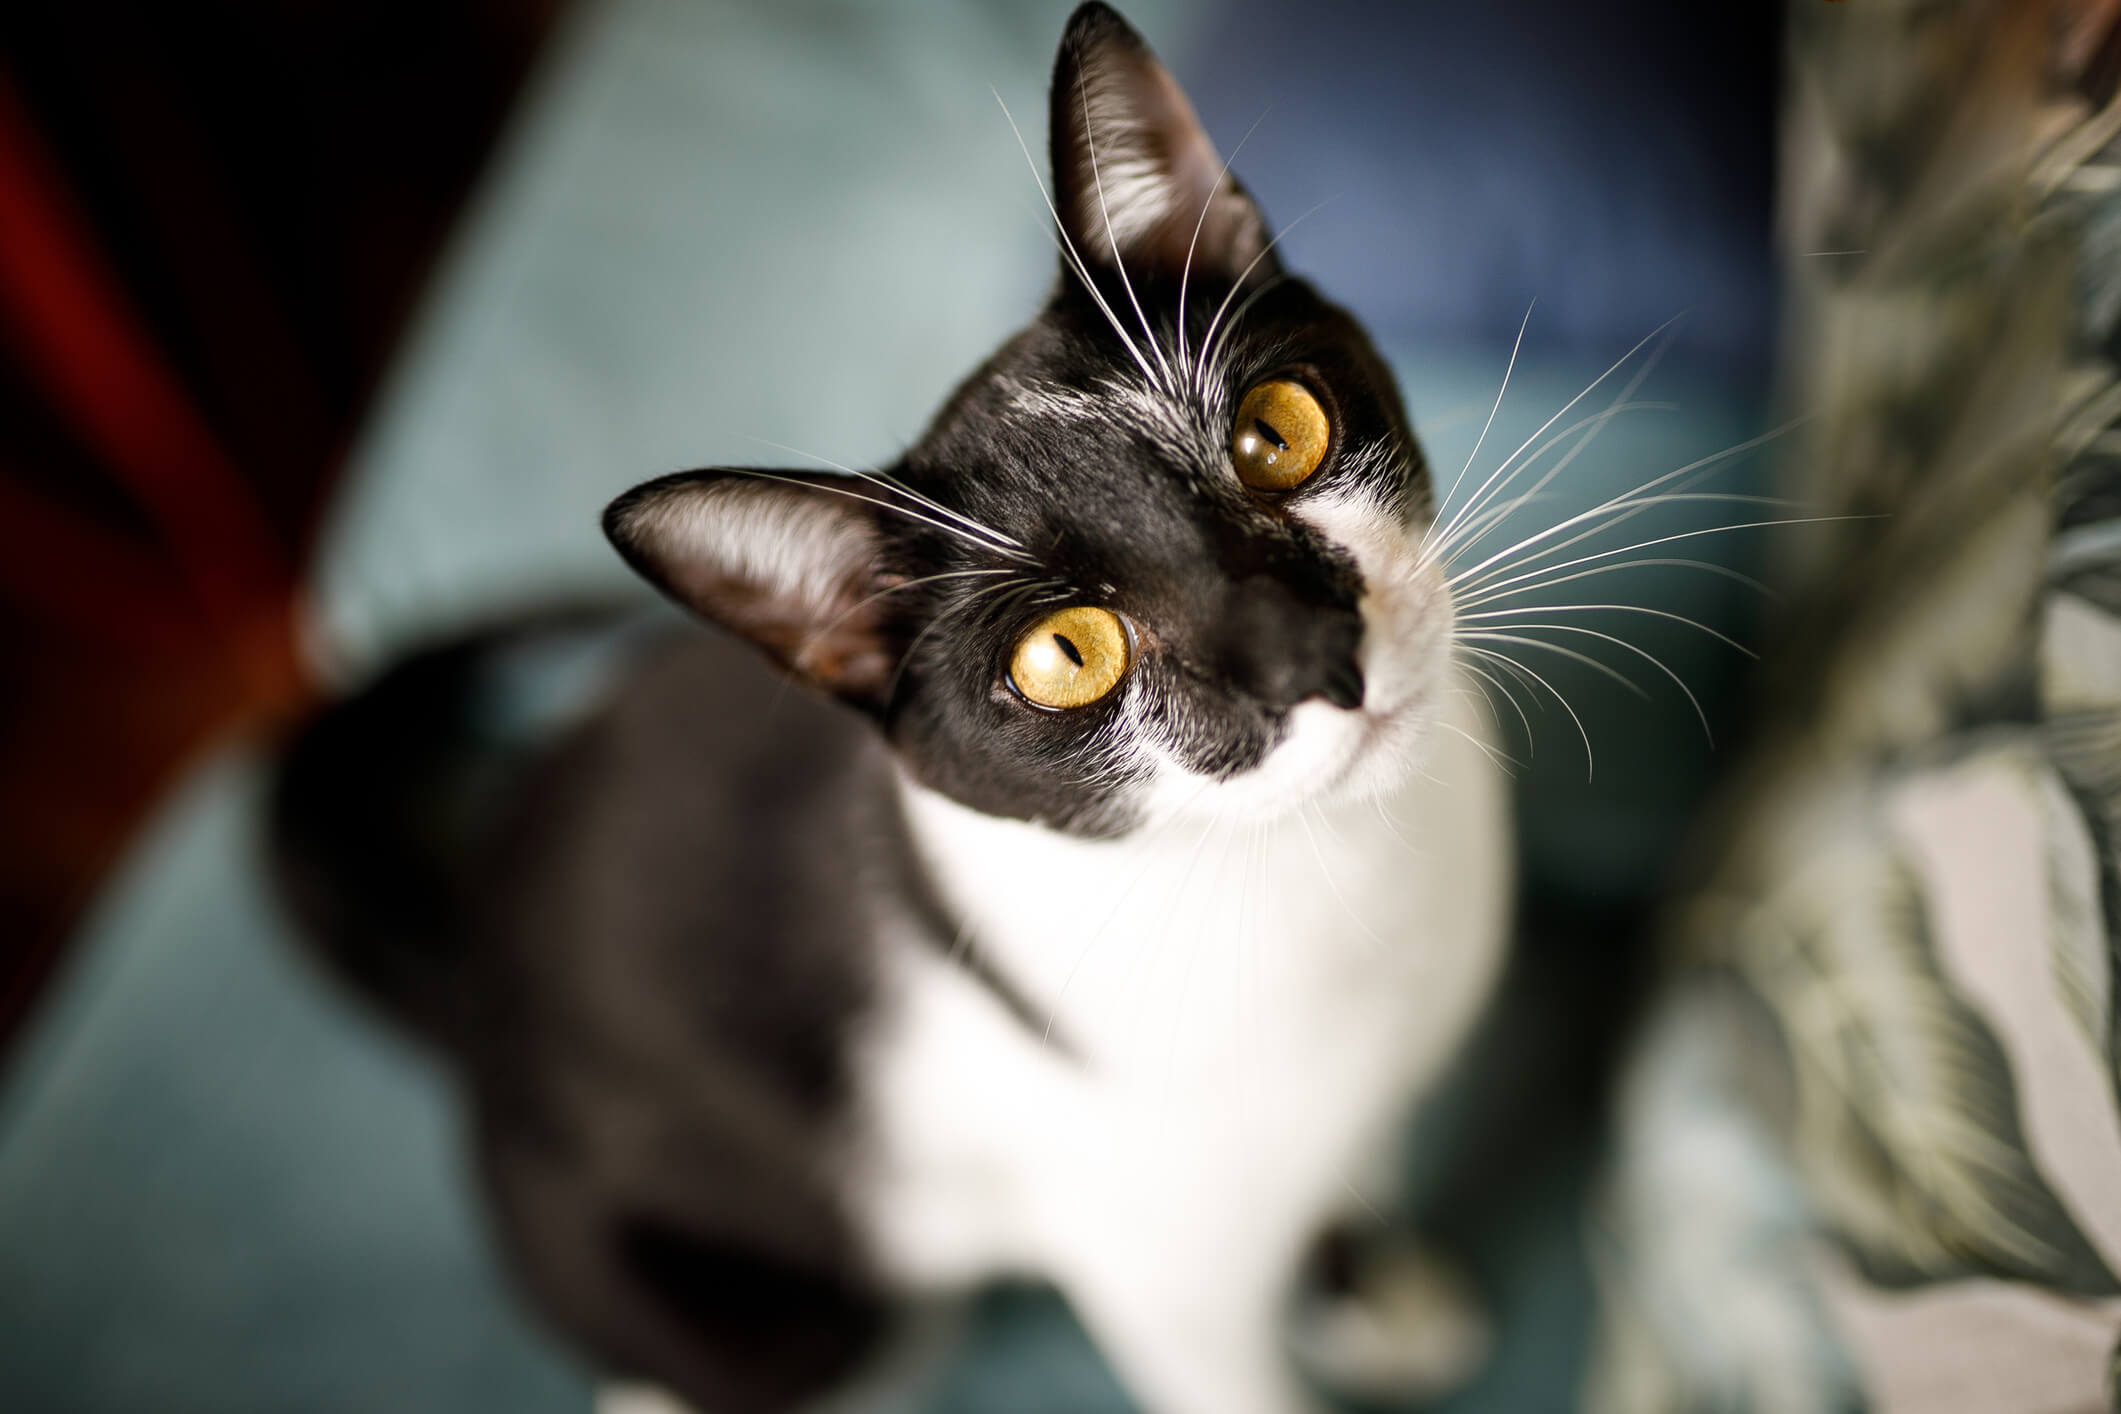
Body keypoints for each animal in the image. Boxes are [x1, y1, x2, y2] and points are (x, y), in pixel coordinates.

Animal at [273, 5, 1518, 1407]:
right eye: (1063, 655)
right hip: (752, 1289)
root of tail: (480, 991)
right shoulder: (1153, 1258)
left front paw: (1366, 1290)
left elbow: (1347, 1176)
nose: (1311, 653)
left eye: (1277, 430)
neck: (1322, 871)